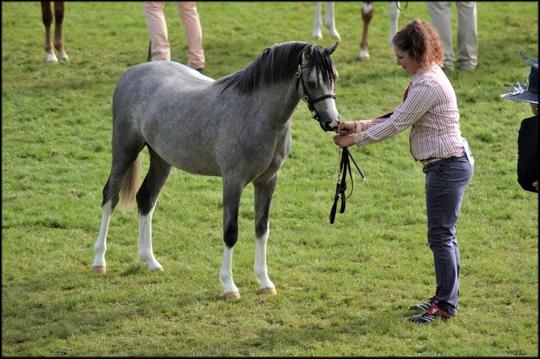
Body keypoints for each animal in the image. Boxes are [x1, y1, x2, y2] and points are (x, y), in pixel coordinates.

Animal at [92, 41, 338, 300]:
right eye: (312, 82)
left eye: (335, 78)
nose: (333, 122)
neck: (254, 113)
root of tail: (135, 71)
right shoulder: (233, 181)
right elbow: (231, 232)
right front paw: (229, 286)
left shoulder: (268, 180)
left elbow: (262, 229)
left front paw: (265, 282)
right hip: (124, 149)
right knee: (110, 197)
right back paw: (99, 261)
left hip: (161, 159)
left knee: (146, 199)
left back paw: (150, 262)